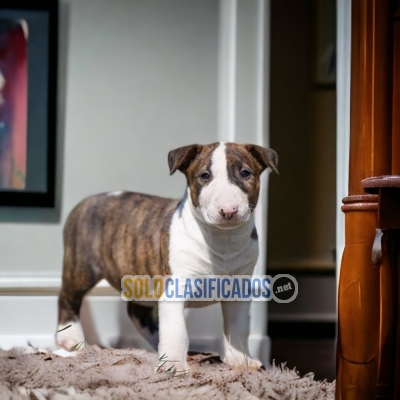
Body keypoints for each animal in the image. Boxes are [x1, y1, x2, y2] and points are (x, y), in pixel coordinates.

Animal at [55, 142, 278, 376]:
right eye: (205, 176)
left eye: (245, 173)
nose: (228, 210)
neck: (222, 239)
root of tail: (87, 201)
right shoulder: (175, 287)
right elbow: (177, 330)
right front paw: (173, 365)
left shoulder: (239, 289)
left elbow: (237, 327)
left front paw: (240, 360)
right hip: (81, 266)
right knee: (67, 297)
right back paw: (70, 338)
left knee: (139, 312)